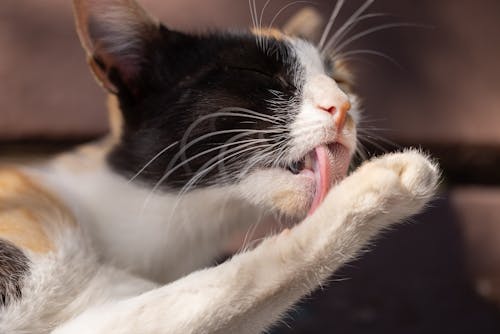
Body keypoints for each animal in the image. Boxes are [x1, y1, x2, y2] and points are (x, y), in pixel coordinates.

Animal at [0, 1, 438, 332]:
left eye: (342, 81)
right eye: (259, 73)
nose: (343, 106)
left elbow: (228, 288)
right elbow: (245, 273)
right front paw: (382, 186)